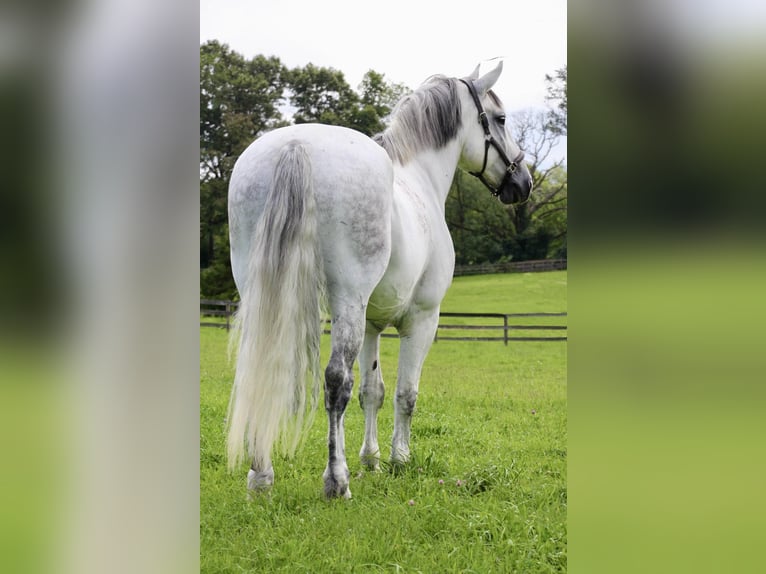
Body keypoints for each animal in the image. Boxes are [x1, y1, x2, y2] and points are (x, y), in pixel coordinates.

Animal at [225, 60, 532, 498]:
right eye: (501, 118)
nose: (522, 183)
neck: (419, 180)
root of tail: (296, 145)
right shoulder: (421, 319)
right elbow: (405, 392)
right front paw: (398, 459)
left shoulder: (371, 322)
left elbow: (372, 391)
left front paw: (370, 459)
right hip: (347, 302)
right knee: (336, 381)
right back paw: (336, 481)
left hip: (265, 295)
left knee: (265, 369)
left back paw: (261, 477)